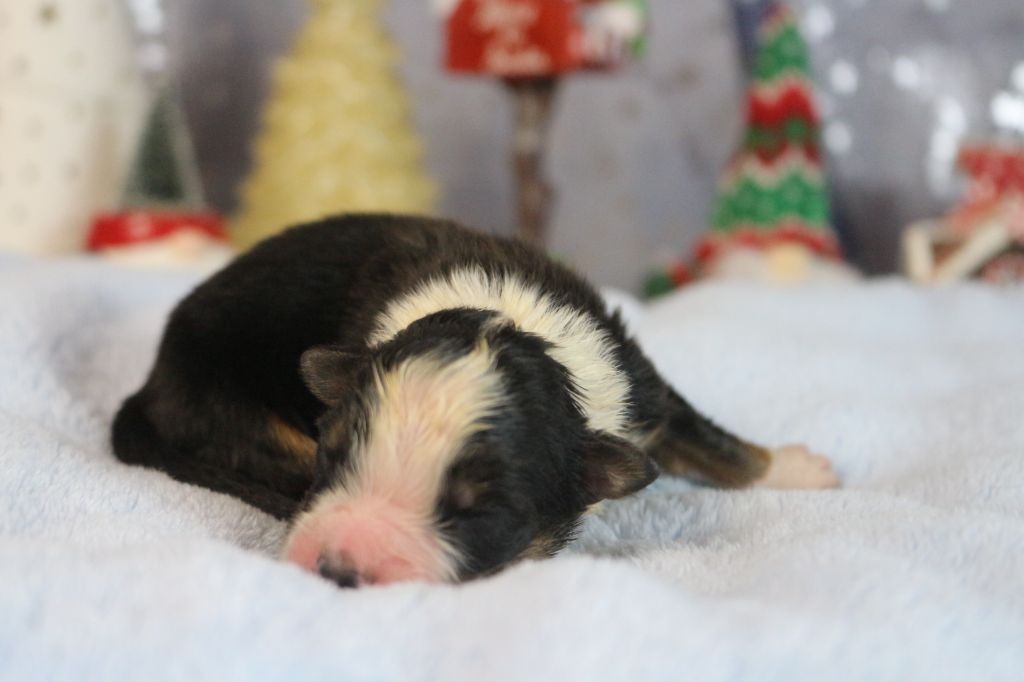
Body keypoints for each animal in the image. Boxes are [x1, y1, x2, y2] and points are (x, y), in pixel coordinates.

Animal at [110, 216, 839, 585]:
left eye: (481, 514)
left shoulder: (637, 379)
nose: (337, 570)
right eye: (332, 457)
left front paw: (794, 469)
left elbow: (708, 437)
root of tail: (149, 381)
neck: (508, 322)